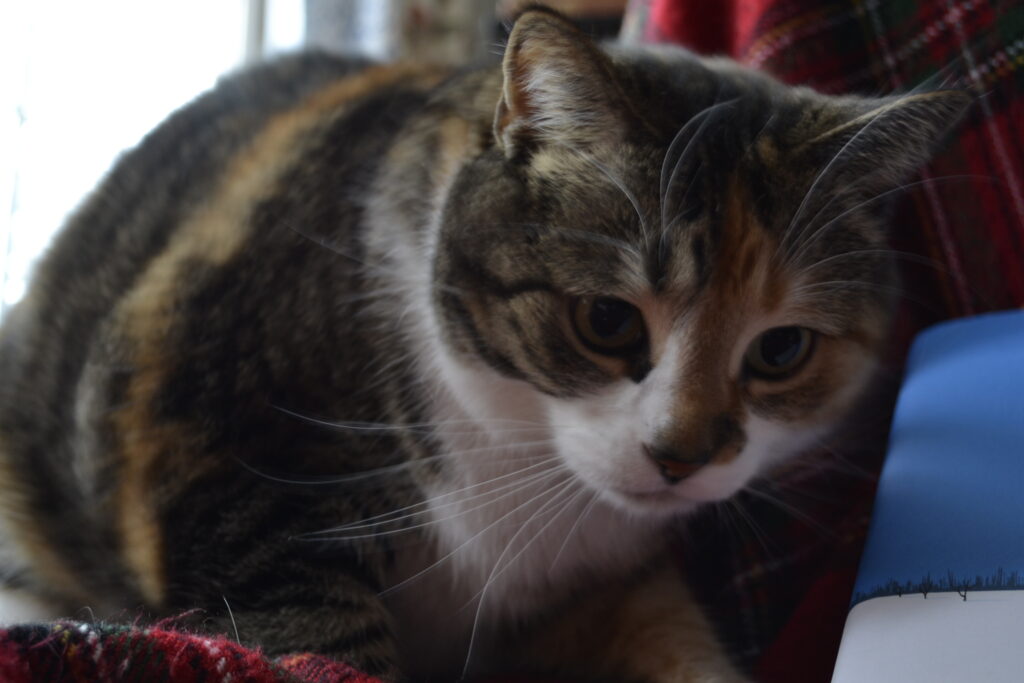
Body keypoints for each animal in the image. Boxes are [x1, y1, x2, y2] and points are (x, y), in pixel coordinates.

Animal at [0, 5, 966, 683]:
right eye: (608, 321)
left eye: (781, 350)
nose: (681, 457)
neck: (519, 463)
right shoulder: (229, 467)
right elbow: (318, 639)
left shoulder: (602, 582)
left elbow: (676, 640)